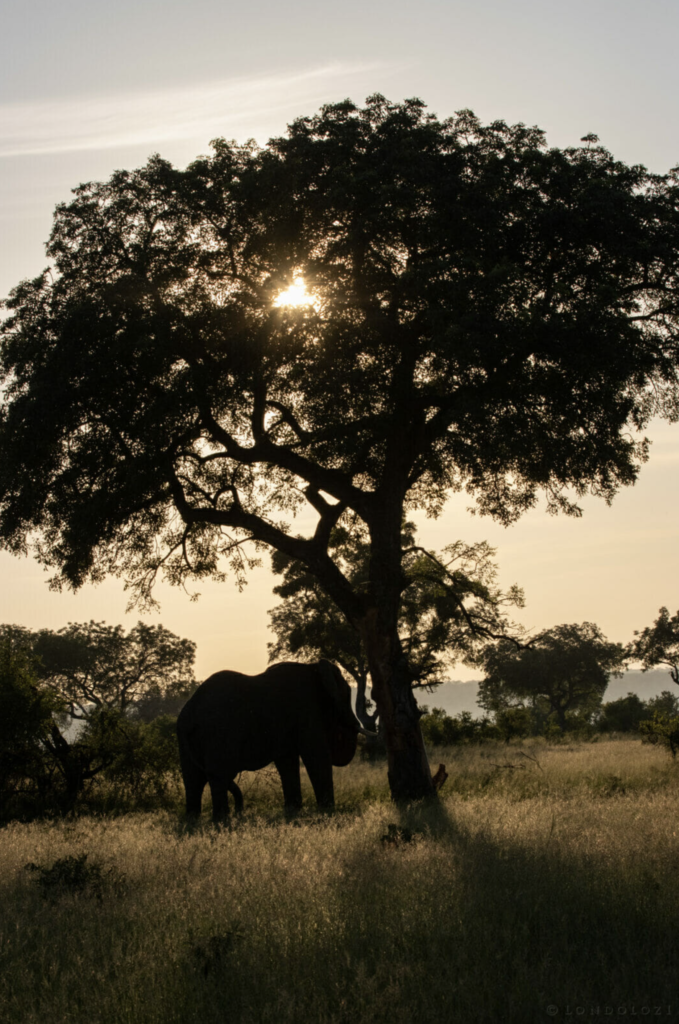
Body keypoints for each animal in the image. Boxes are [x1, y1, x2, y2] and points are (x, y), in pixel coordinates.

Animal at [176, 659, 366, 819]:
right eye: (347, 695)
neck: (314, 667)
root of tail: (190, 711)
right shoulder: (306, 710)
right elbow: (316, 755)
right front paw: (327, 812)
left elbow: (287, 761)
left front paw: (293, 812)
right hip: (218, 734)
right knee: (218, 777)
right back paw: (222, 821)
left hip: (187, 740)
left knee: (194, 780)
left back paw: (195, 820)